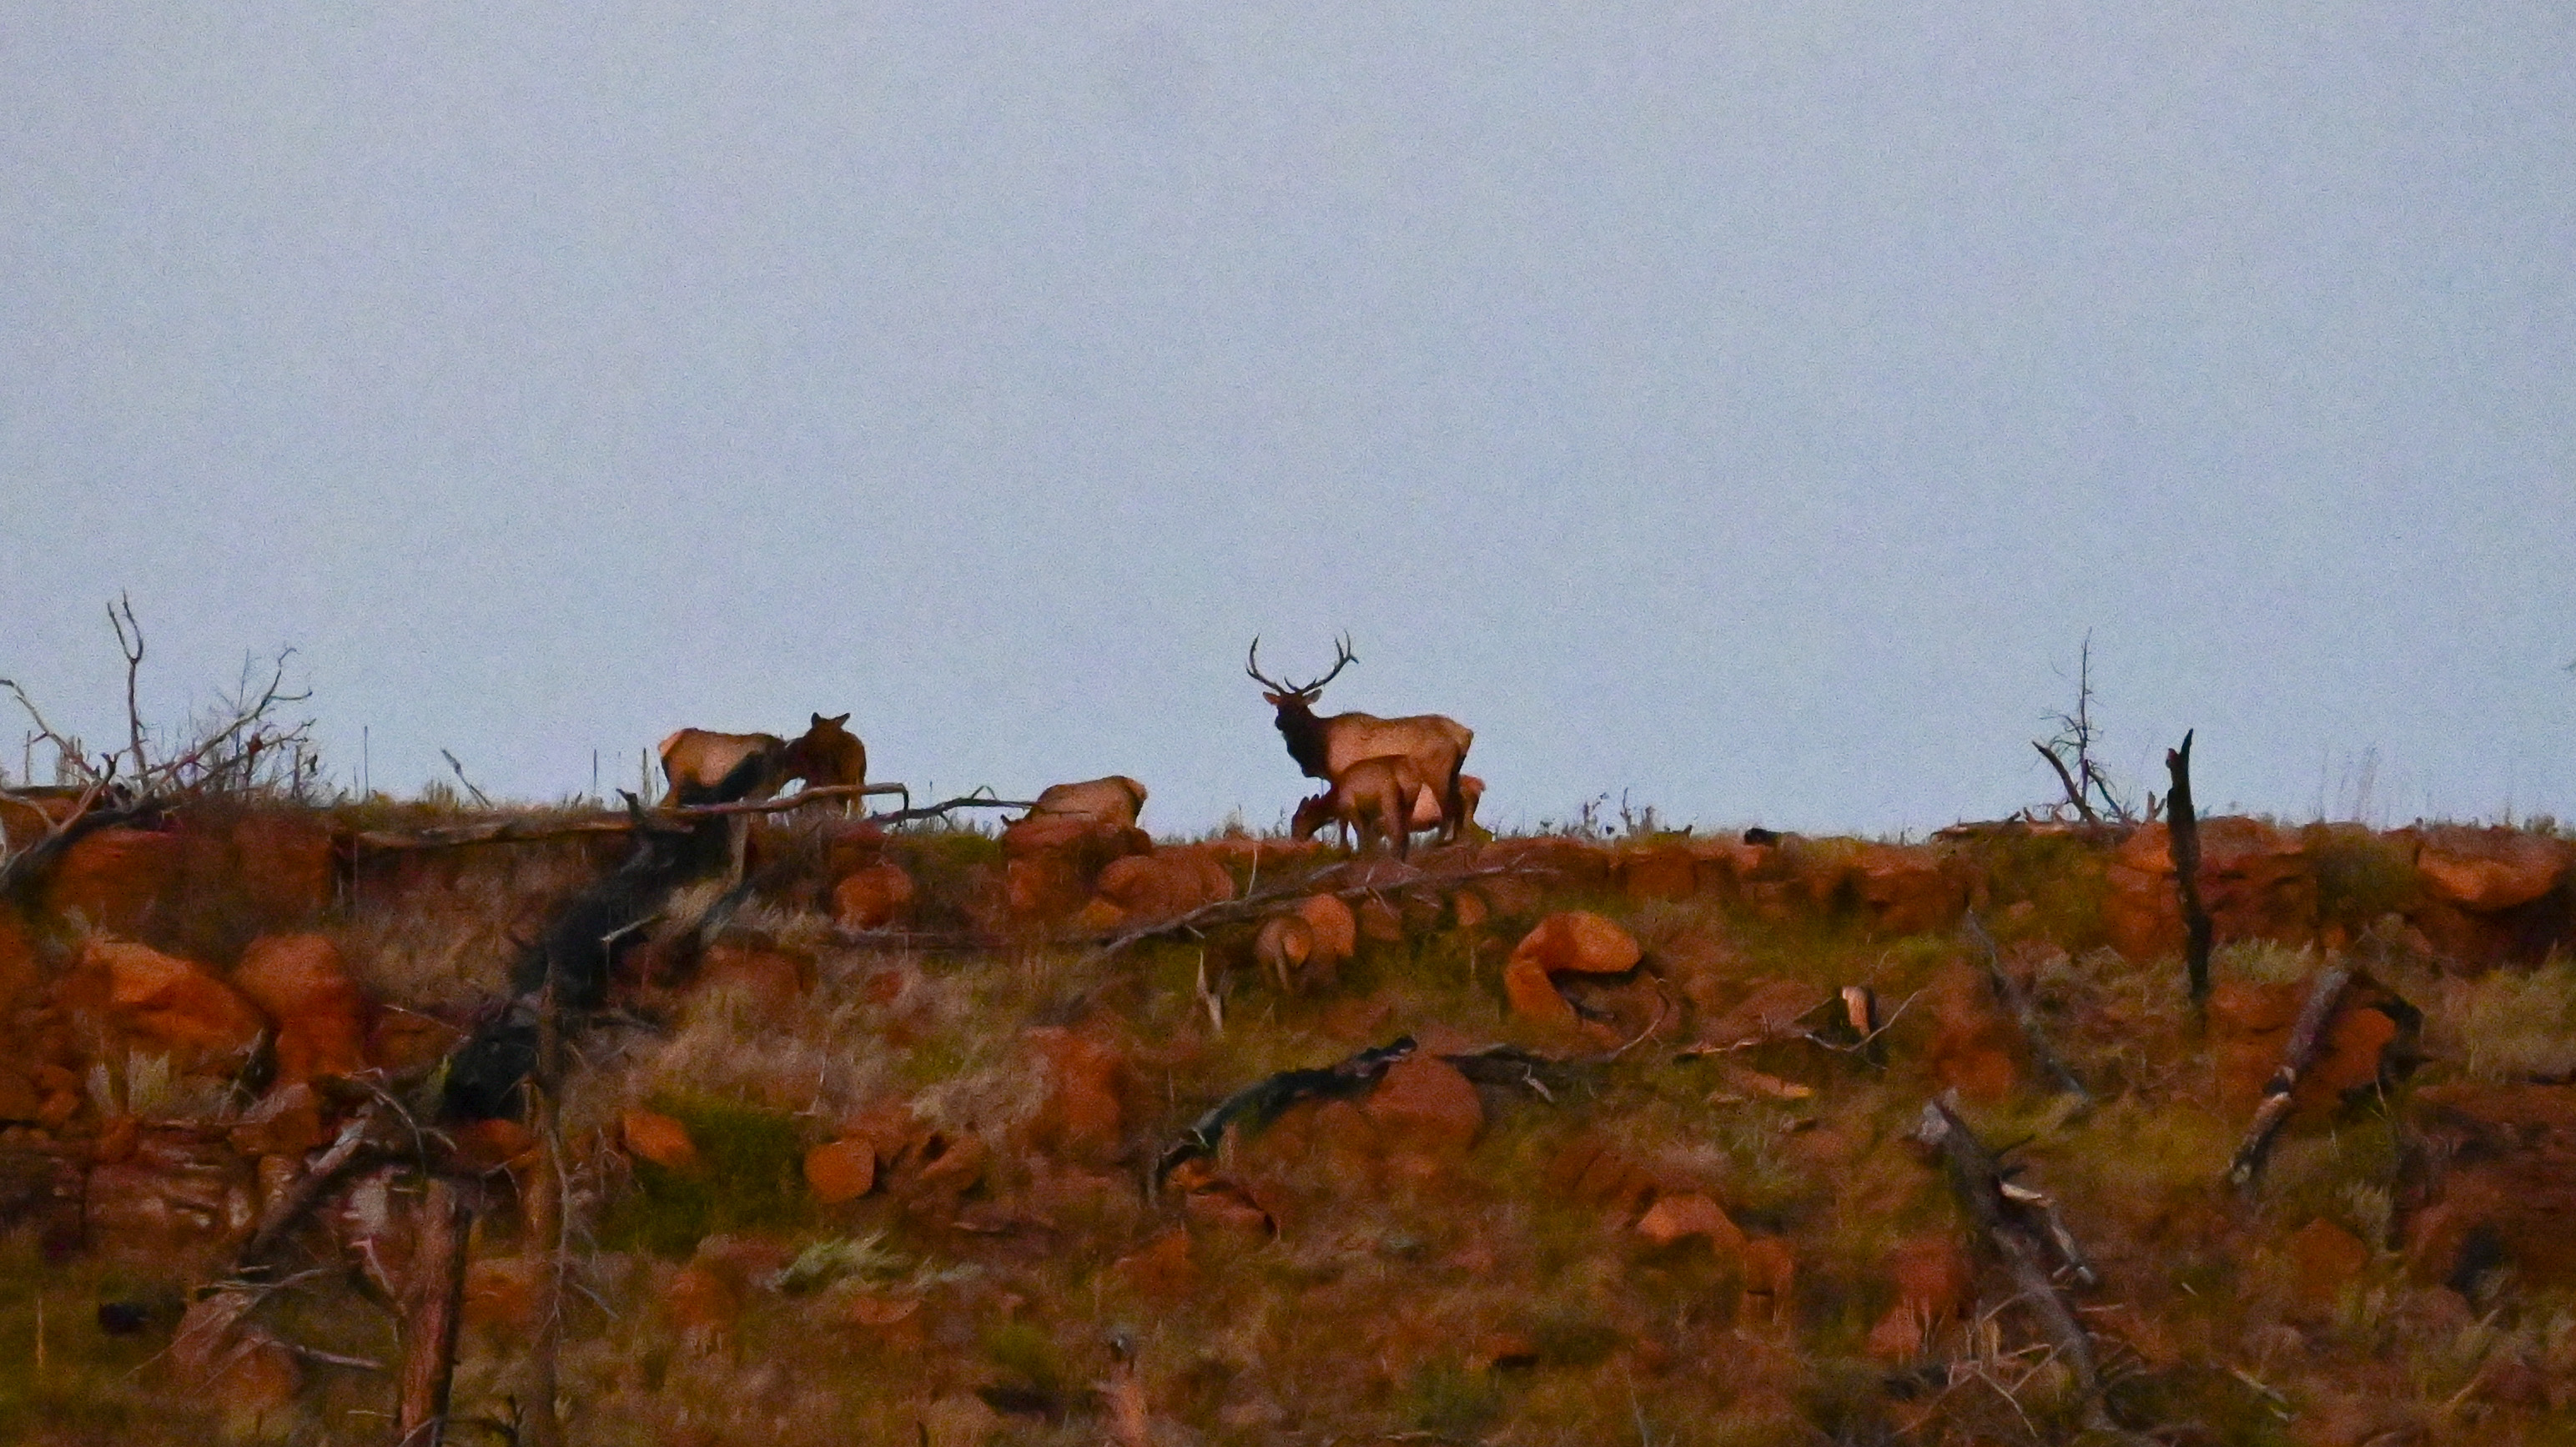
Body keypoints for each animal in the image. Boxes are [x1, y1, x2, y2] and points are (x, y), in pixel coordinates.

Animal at [1248, 635, 1474, 842]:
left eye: (1300, 708)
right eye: (1279, 706)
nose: (1279, 723)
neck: (1320, 750)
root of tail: (1465, 734)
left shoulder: (1341, 775)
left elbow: (1343, 819)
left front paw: (1345, 847)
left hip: (1437, 770)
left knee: (1449, 808)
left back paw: (1438, 843)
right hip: (1453, 772)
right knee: (1460, 806)